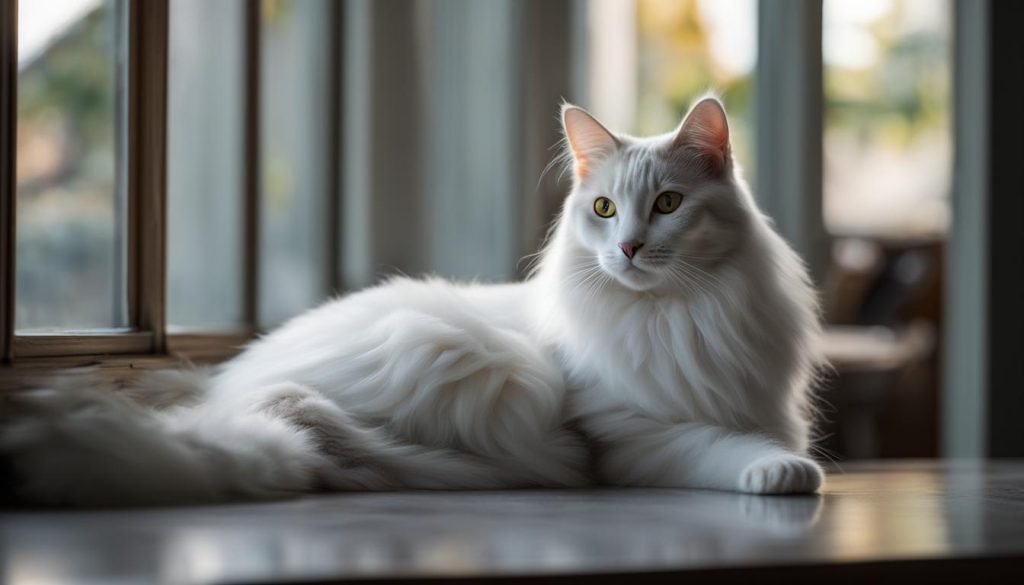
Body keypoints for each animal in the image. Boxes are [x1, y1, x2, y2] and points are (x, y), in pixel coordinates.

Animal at [2, 94, 823, 504]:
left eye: (668, 204)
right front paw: (784, 472)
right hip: (479, 360)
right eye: (603, 210)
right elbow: (726, 449)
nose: (625, 249)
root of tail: (228, 390)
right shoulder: (631, 436)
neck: (677, 317)